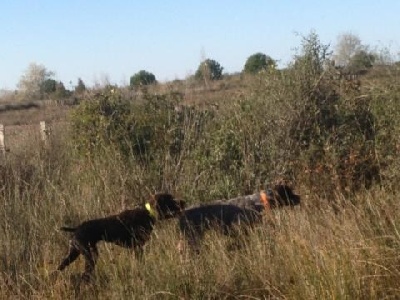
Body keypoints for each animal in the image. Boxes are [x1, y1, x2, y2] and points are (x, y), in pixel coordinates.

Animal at [57, 193, 185, 280]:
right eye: (171, 199)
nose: (183, 202)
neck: (147, 213)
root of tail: (77, 228)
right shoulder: (138, 248)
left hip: (74, 253)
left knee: (59, 268)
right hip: (90, 256)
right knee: (84, 274)